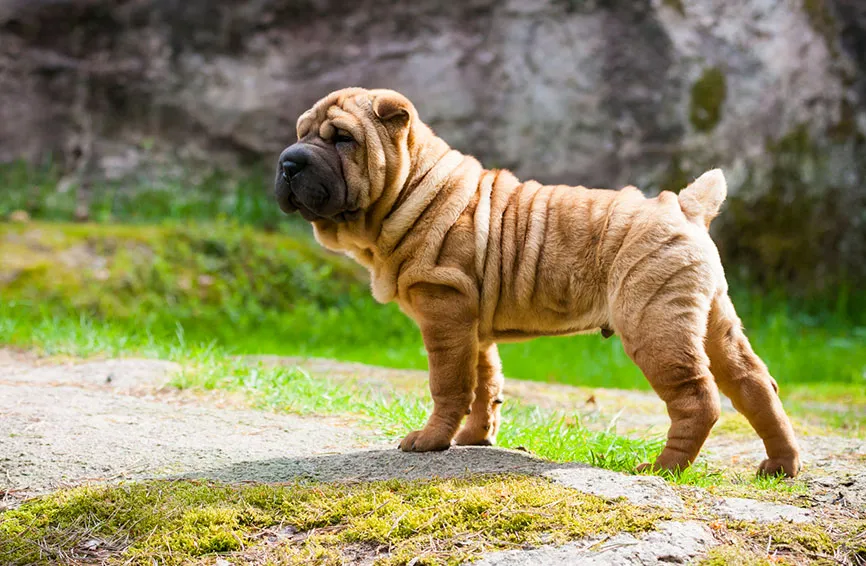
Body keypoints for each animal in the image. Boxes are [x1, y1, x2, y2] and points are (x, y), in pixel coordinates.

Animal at [274, 87, 800, 480]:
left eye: (342, 139)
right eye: (300, 134)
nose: (287, 162)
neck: (412, 189)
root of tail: (684, 205)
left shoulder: (444, 309)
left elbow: (448, 384)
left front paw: (430, 441)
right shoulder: (471, 323)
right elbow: (485, 383)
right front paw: (475, 438)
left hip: (654, 321)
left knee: (697, 397)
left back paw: (662, 468)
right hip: (712, 318)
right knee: (755, 384)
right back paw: (780, 465)